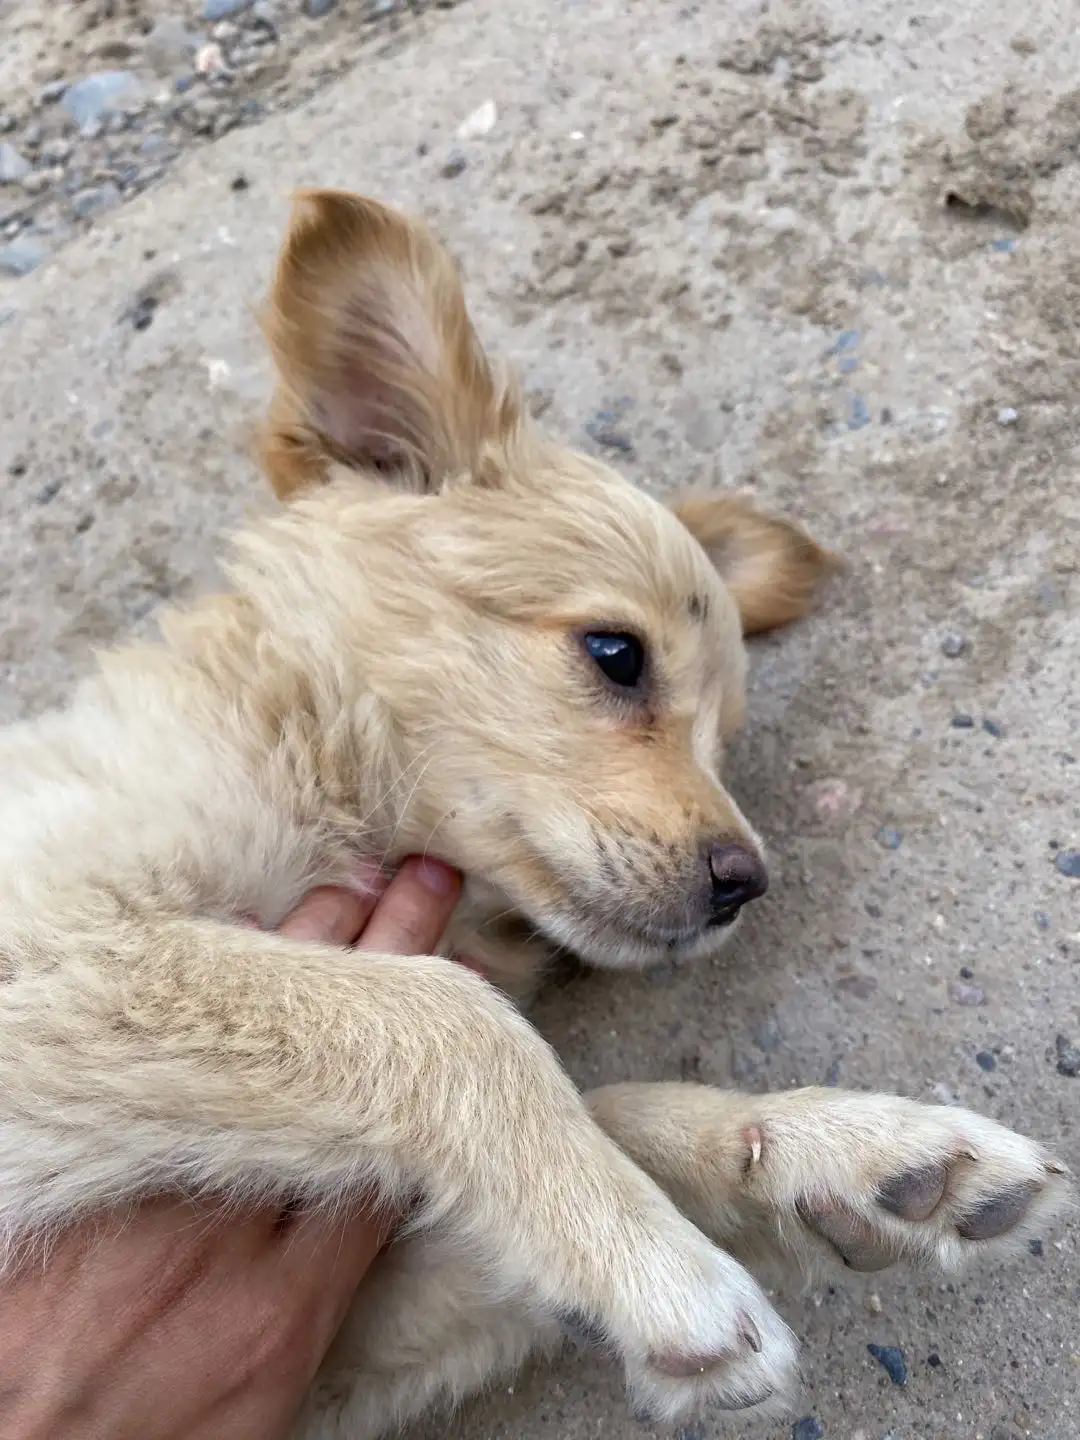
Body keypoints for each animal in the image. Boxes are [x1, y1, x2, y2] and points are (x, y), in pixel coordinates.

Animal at [0, 194, 1065, 1440]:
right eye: (615, 653)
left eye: (726, 739)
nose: (746, 884)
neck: (307, 742)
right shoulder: (57, 943)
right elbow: (447, 1017)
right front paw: (665, 1266)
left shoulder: (316, 1353)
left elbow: (610, 1106)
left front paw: (823, 1152)